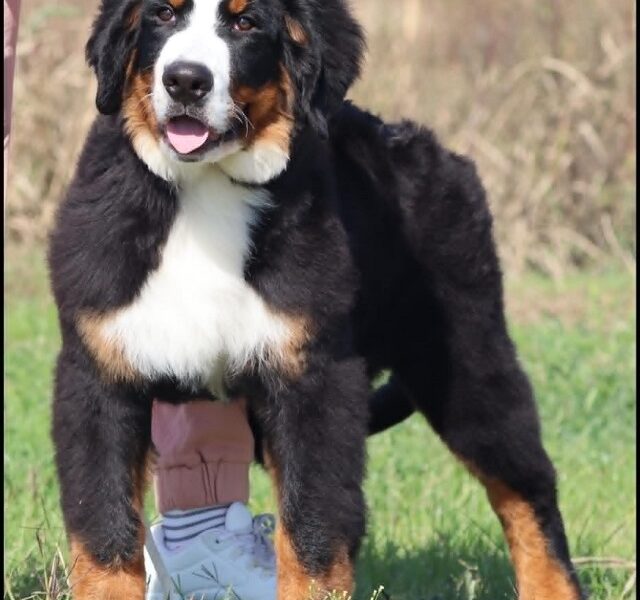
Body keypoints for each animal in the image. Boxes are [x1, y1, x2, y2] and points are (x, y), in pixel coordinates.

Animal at [46, 0, 584, 596]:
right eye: (162, 14)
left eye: (245, 23)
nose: (185, 80)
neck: (203, 194)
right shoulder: (100, 376)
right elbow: (105, 531)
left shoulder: (315, 381)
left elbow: (312, 532)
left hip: (467, 359)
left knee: (526, 487)